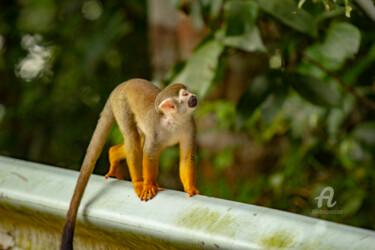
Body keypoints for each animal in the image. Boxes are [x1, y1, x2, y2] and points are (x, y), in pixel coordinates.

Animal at [61, 78, 201, 250]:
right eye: (185, 95)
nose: (193, 96)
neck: (174, 120)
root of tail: (121, 85)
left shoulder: (189, 125)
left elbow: (188, 157)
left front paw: (190, 188)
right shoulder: (156, 131)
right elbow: (149, 154)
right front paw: (148, 185)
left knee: (139, 139)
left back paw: (113, 153)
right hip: (122, 106)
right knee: (133, 139)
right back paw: (137, 181)